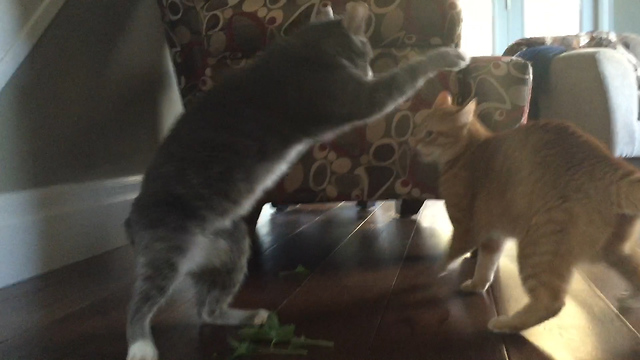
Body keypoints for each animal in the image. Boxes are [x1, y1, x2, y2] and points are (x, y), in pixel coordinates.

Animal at [125, 2, 468, 360]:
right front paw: (447, 56)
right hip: (165, 248)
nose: (371, 71)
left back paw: (247, 316)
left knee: (208, 309)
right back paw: (141, 345)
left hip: (232, 248)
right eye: (368, 53)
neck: (310, 45)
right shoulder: (356, 96)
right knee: (141, 303)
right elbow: (404, 75)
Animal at [412, 91, 640, 334]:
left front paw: (431, 273)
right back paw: (631, 299)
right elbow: (485, 266)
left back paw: (506, 323)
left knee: (551, 303)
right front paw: (476, 285)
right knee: (635, 272)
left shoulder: (467, 229)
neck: (468, 151)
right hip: (612, 252)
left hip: (537, 246)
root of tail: (612, 170)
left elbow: (448, 256)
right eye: (416, 127)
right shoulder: (493, 237)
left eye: (429, 133)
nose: (412, 142)